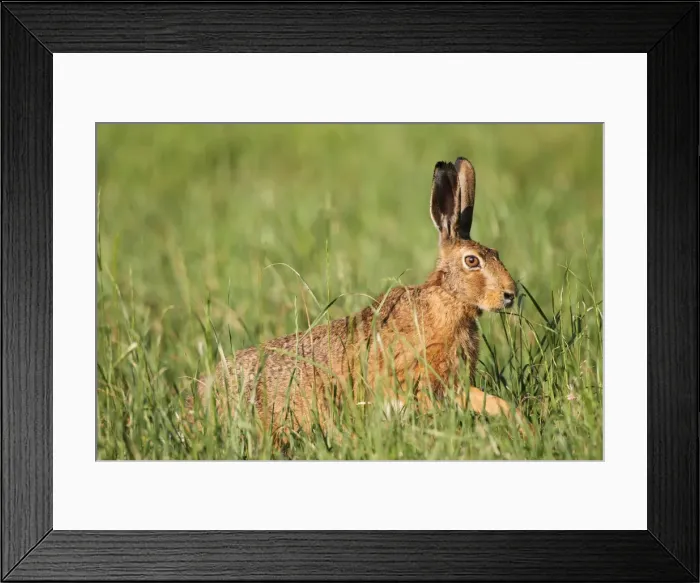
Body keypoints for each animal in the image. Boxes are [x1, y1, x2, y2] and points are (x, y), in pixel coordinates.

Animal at [185, 157, 527, 442]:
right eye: (472, 261)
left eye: (496, 253)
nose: (511, 295)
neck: (447, 300)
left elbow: (488, 401)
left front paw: (522, 426)